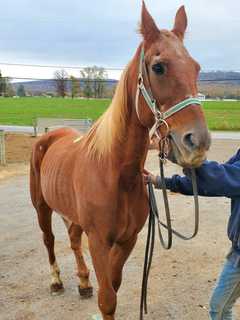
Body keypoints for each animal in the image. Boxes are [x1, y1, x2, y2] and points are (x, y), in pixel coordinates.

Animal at [30, 3, 212, 320]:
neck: (115, 173)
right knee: (49, 240)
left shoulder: (128, 240)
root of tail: (50, 135)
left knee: (73, 238)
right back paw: (56, 281)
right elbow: (108, 299)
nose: (197, 142)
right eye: (158, 67)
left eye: (196, 67)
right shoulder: (99, 241)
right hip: (42, 207)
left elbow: (112, 286)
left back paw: (83, 282)